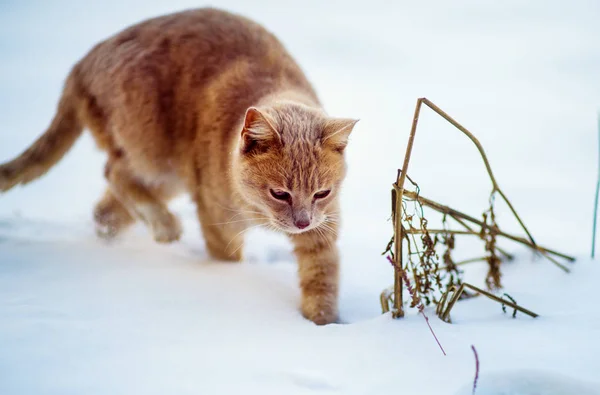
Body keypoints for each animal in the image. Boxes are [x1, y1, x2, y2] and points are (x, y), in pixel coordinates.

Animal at [0, 8, 356, 324]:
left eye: (321, 193)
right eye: (280, 194)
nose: (301, 221)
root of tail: (83, 62)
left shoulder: (323, 227)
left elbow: (321, 277)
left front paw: (322, 323)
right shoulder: (217, 219)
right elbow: (228, 260)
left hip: (170, 175)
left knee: (105, 207)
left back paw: (113, 233)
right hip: (153, 151)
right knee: (114, 172)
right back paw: (164, 226)